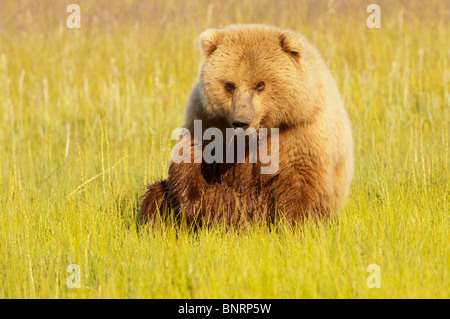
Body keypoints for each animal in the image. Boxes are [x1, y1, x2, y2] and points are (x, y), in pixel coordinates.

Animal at [142, 24, 354, 225]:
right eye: (229, 85)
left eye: (260, 84)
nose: (241, 121)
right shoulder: (209, 120)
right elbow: (192, 155)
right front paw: (190, 205)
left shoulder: (302, 134)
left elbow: (301, 185)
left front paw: (294, 221)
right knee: (156, 195)